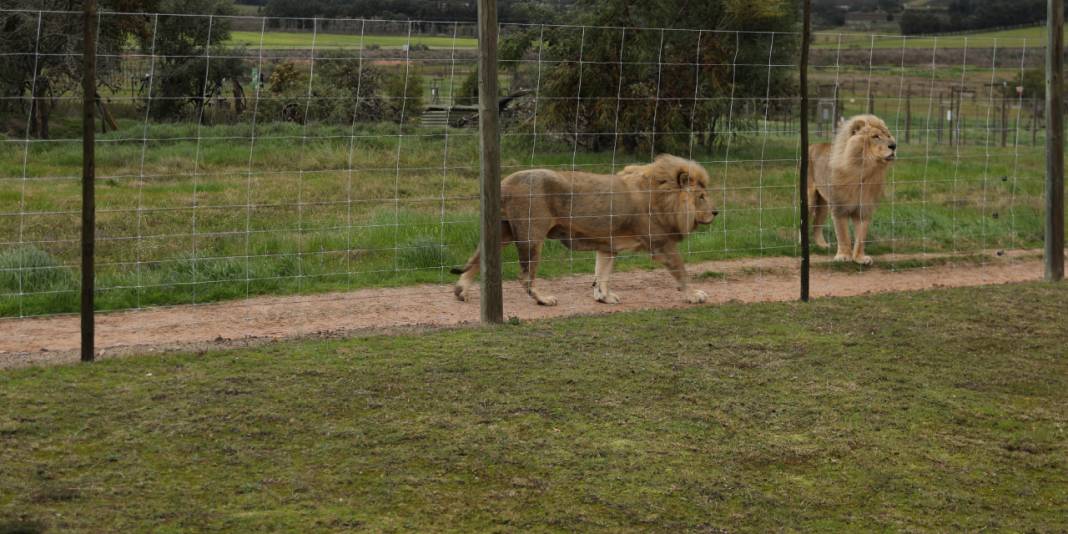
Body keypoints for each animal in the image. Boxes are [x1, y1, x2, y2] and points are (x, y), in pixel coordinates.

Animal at [450, 153, 717, 305]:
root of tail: (504, 182)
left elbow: (602, 274)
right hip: (532, 236)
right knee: (525, 277)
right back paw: (543, 299)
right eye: (701, 197)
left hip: (502, 230)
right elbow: (682, 271)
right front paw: (694, 295)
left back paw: (461, 291)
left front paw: (604, 297)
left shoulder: (608, 245)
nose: (716, 213)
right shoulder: (662, 243)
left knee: (477, 259)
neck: (665, 197)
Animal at [803, 113, 897, 263]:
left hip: (823, 203)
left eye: (888, 136)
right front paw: (843, 256)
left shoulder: (864, 209)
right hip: (810, 198)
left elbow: (861, 237)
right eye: (875, 136)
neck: (865, 171)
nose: (894, 145)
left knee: (817, 224)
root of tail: (812, 145)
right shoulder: (839, 207)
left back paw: (822, 245)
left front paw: (860, 258)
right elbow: (843, 235)